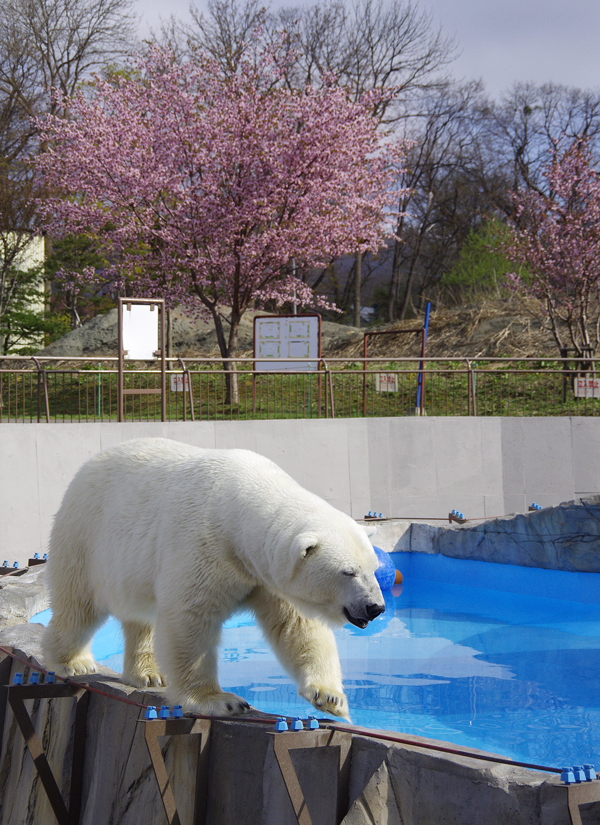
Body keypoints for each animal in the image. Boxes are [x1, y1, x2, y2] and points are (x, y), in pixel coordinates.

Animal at [43, 438, 384, 716]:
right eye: (348, 572)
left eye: (374, 567)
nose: (375, 607)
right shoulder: (203, 546)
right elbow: (190, 620)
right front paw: (220, 701)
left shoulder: (264, 574)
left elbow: (297, 626)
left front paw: (330, 697)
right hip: (84, 538)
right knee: (77, 607)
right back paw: (72, 661)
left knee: (141, 617)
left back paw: (149, 673)